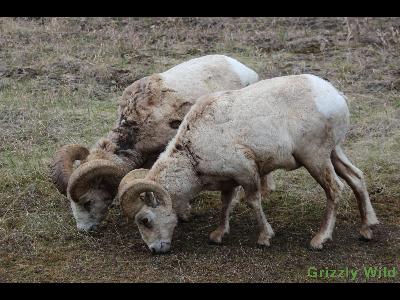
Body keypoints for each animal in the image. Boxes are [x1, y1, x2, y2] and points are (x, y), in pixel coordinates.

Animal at [118, 73, 378, 253]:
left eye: (145, 220)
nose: (155, 250)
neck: (193, 150)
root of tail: (336, 96)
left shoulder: (247, 172)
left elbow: (253, 201)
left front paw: (264, 238)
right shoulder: (228, 181)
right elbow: (225, 204)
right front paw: (218, 235)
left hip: (315, 157)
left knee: (335, 189)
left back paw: (319, 240)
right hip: (334, 152)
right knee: (356, 178)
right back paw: (367, 229)